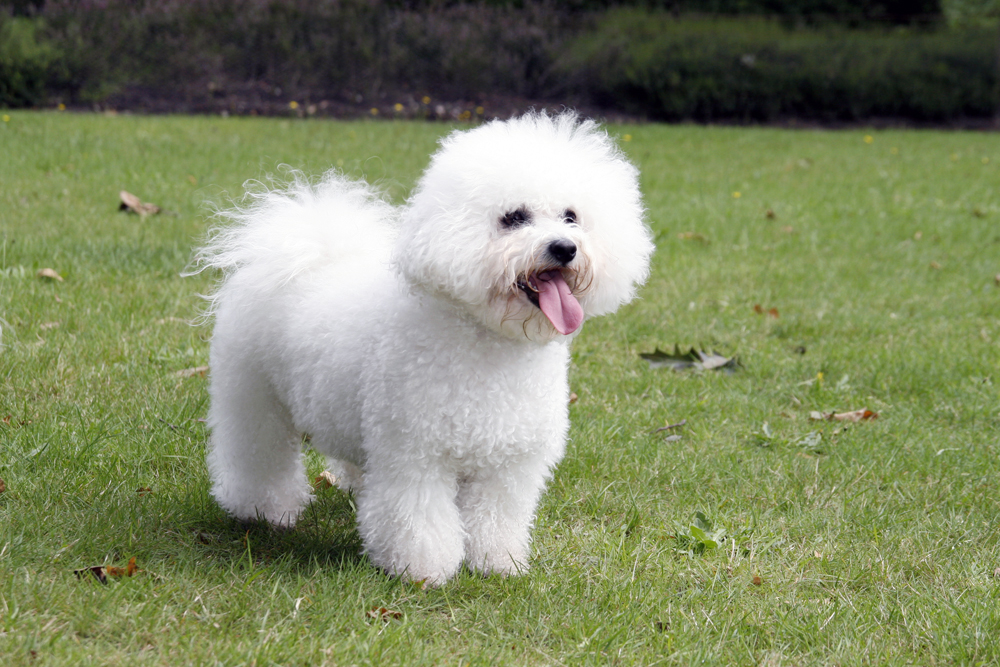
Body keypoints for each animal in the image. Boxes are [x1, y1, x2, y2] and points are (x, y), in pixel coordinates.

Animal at [194, 112, 653, 584]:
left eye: (571, 216)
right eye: (513, 218)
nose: (564, 248)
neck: (488, 343)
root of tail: (306, 251)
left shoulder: (507, 465)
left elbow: (497, 516)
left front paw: (498, 563)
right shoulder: (416, 455)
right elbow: (420, 518)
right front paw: (422, 571)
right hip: (253, 396)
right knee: (257, 454)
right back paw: (263, 510)